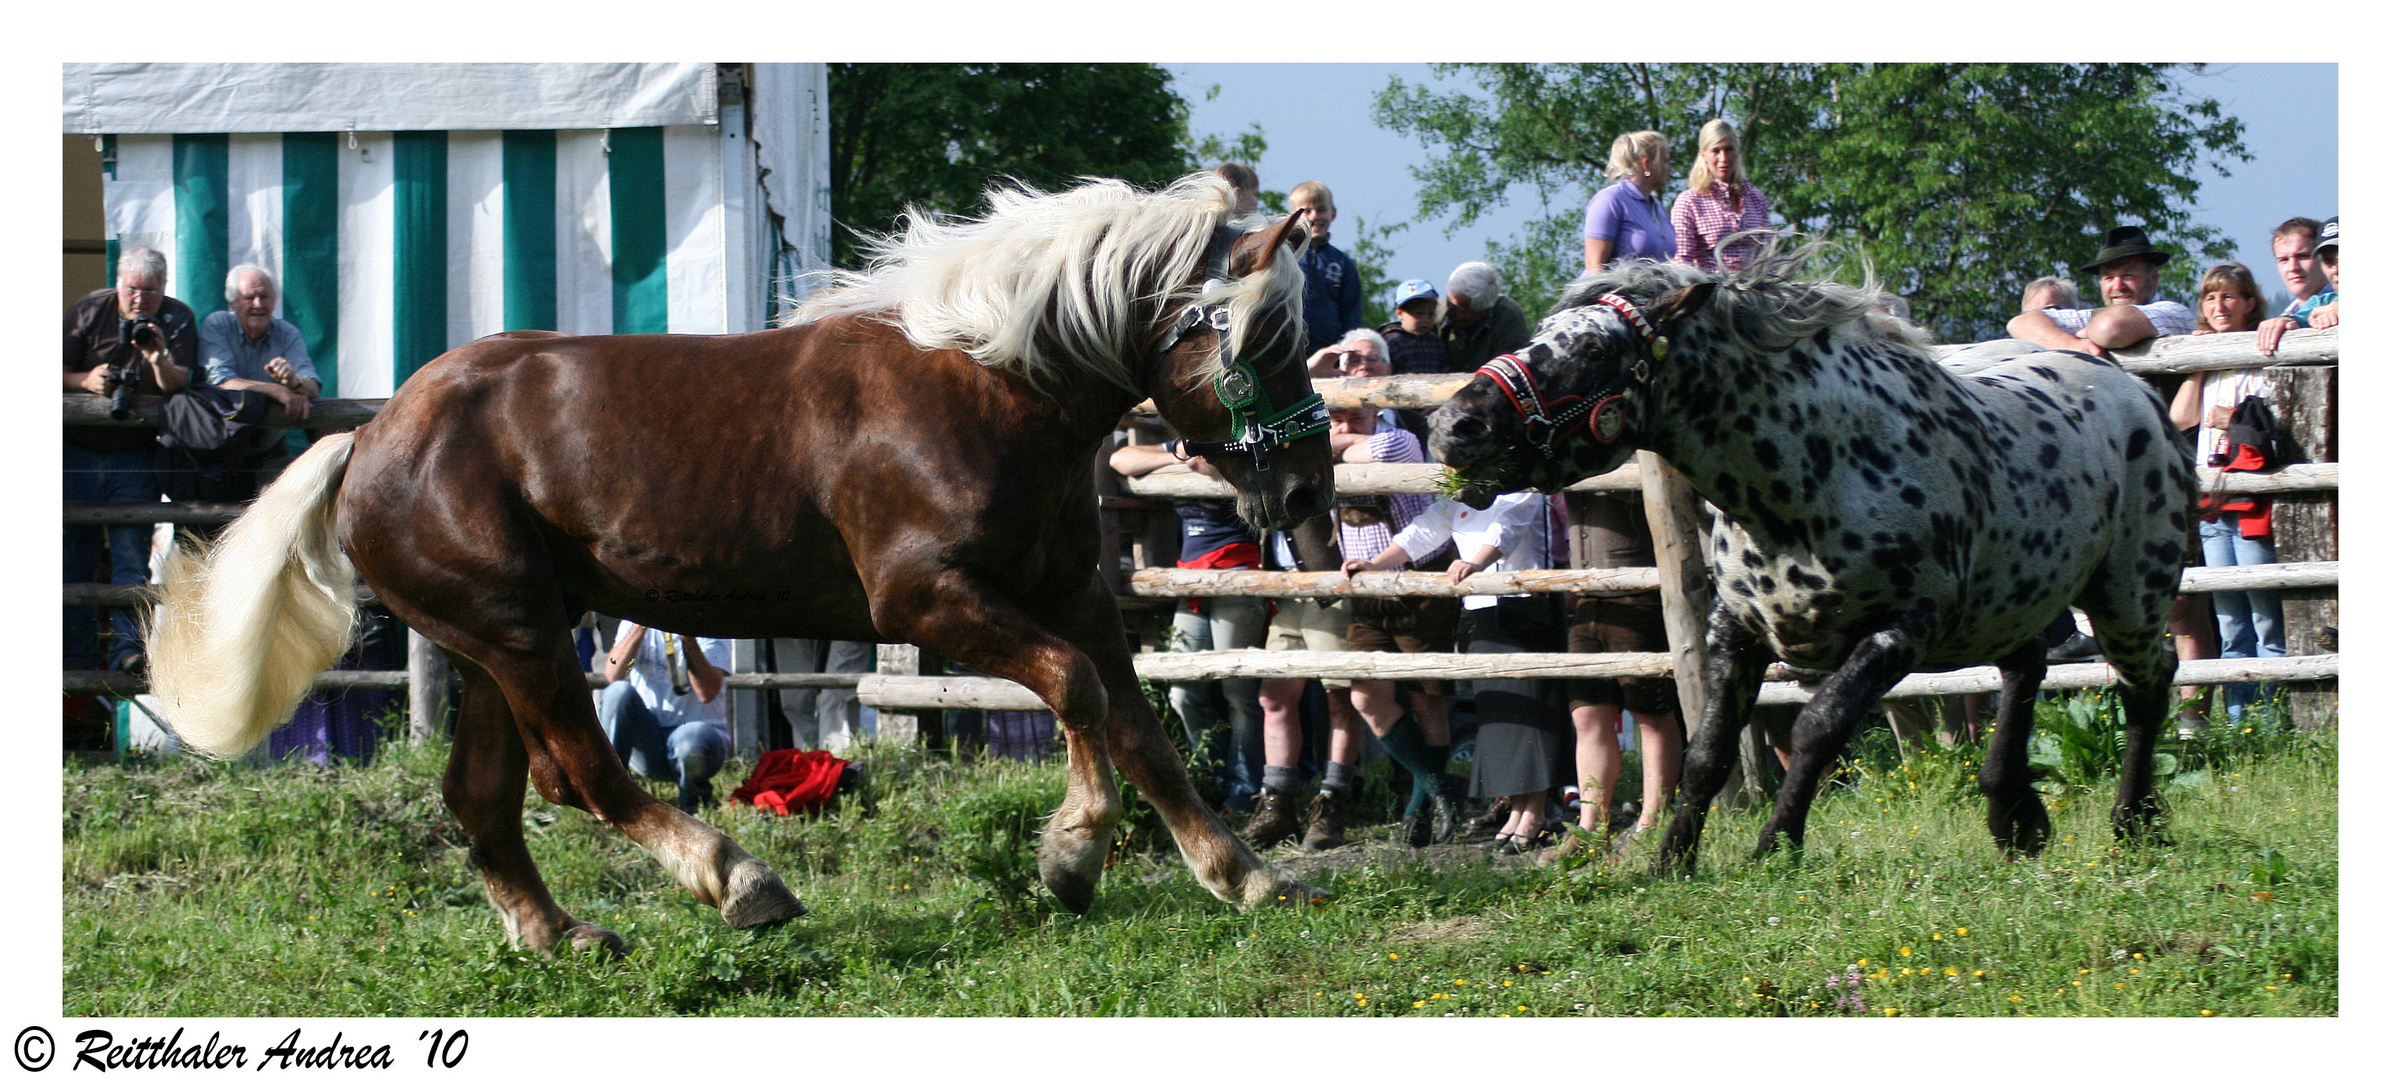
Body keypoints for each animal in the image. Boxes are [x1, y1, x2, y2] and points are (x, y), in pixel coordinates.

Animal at [150, 175, 1344, 955]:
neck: (985, 386)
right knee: (582, 773)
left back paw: (562, 934)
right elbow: (1079, 694)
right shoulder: (928, 600)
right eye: (1267, 339)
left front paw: (1244, 876)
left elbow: (1145, 732)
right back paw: (738, 881)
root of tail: (369, 437)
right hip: (519, 633)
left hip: (495, 642)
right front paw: (1072, 857)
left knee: (485, 796)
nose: (1303, 497)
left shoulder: (1075, 595)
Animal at [1421, 256, 2199, 873]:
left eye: (1588, 350)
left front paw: (1773, 848)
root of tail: (2130, 387)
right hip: (2015, 599)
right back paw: (2013, 813)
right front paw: (1672, 863)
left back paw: (2134, 822)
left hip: (2126, 597)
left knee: (2148, 683)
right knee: (2027, 669)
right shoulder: (1736, 632)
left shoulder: (1898, 634)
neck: (1814, 467)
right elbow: (1707, 753)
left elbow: (1816, 729)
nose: (1451, 426)